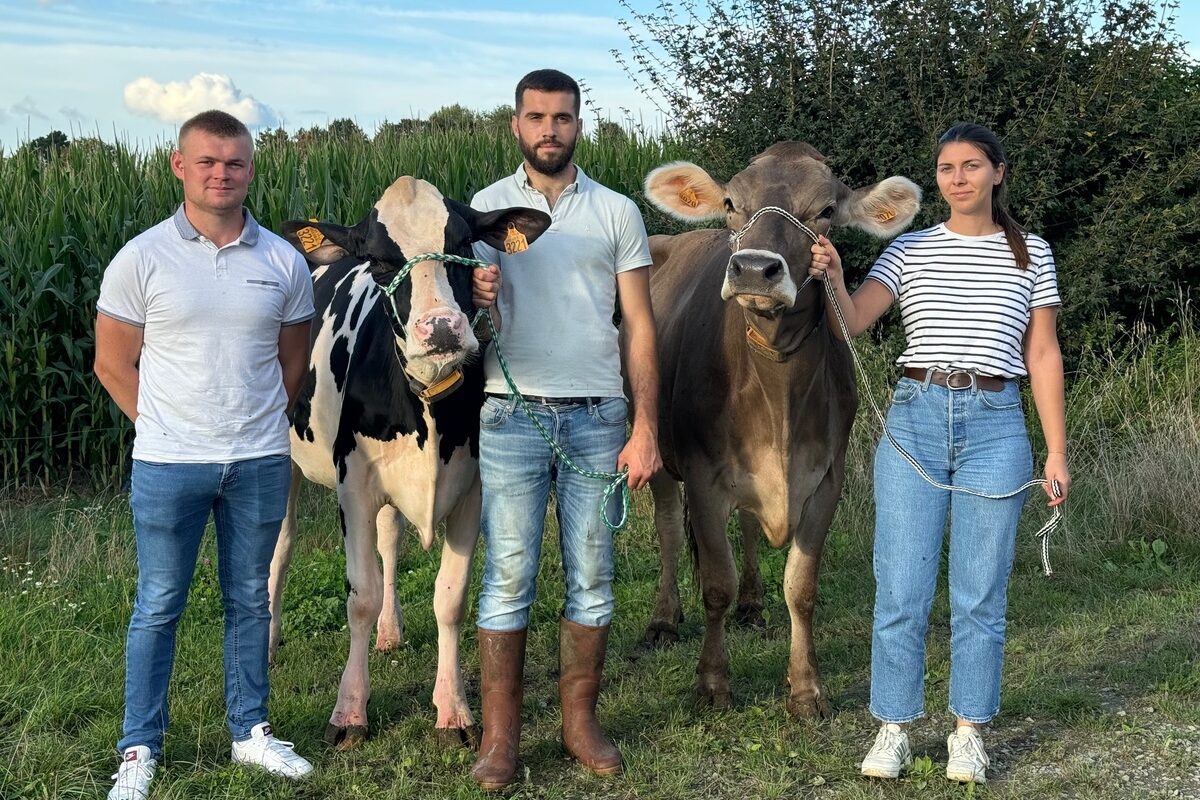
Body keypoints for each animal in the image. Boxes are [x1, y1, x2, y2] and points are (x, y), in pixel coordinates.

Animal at [270, 176, 549, 753]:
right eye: (377, 259)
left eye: (463, 243)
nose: (440, 328)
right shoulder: (352, 487)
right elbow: (359, 595)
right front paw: (350, 712)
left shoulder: (472, 492)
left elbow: (450, 598)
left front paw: (454, 710)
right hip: (284, 462)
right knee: (279, 550)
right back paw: (268, 640)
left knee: (389, 539)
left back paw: (390, 631)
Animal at [648, 143, 916, 719]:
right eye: (731, 202)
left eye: (826, 211)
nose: (754, 269)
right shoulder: (702, 477)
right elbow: (715, 585)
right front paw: (712, 684)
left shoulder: (826, 479)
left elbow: (801, 587)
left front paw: (806, 689)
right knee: (669, 528)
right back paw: (664, 618)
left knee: (748, 527)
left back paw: (752, 603)